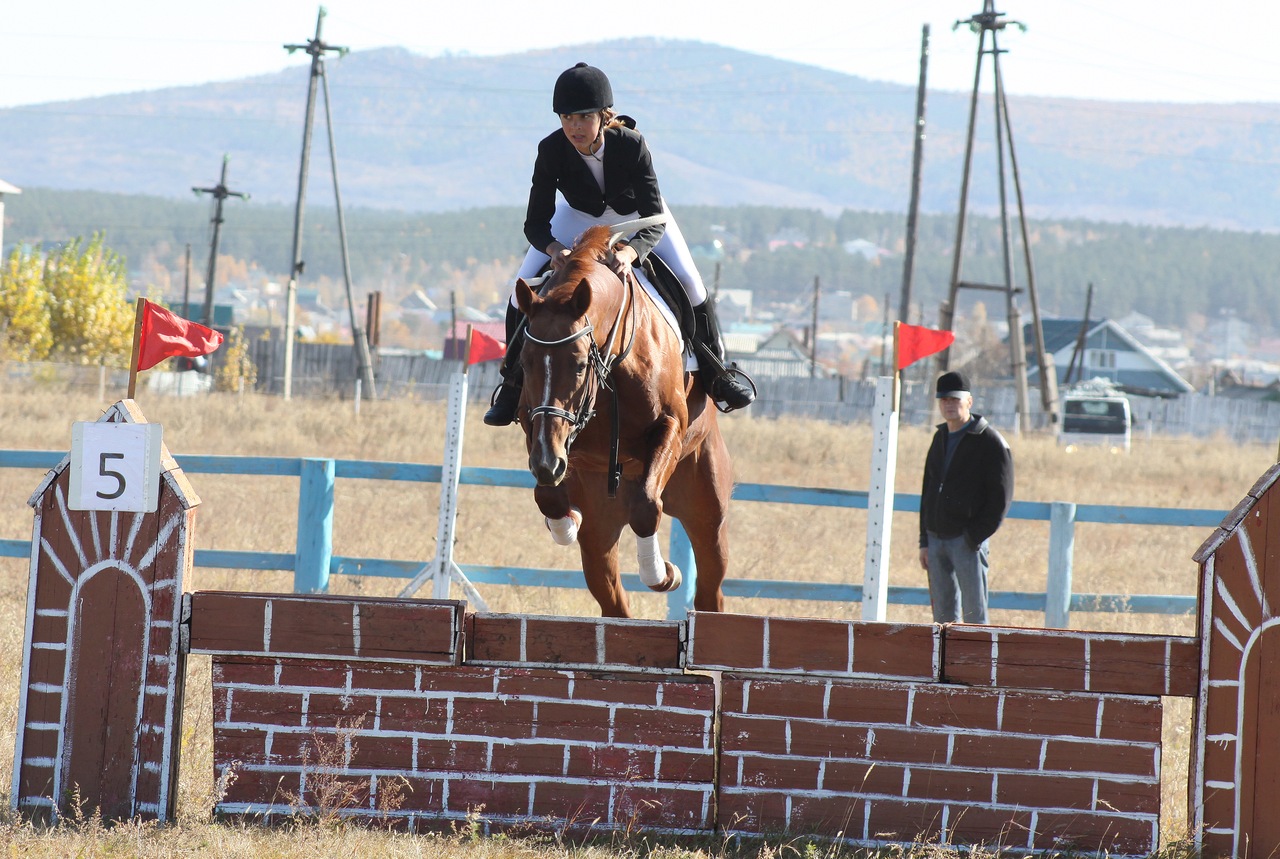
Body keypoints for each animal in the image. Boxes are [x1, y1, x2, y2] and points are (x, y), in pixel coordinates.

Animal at [509, 221, 732, 619]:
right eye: (525, 360)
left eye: (579, 364)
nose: (549, 463)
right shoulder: (538, 427)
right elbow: (547, 496)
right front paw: (565, 521)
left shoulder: (671, 426)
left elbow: (646, 506)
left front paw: (663, 574)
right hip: (603, 526)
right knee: (612, 598)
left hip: (707, 511)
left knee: (710, 589)